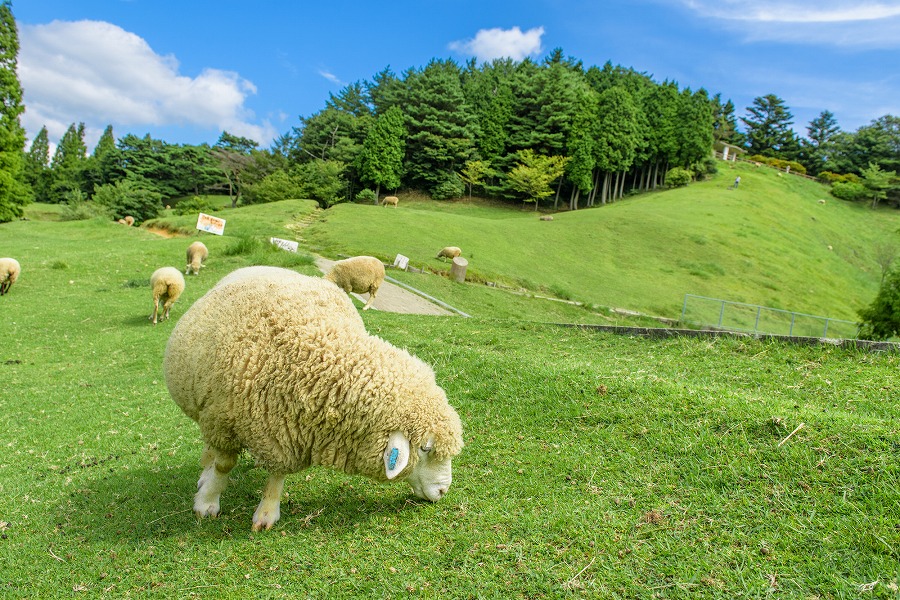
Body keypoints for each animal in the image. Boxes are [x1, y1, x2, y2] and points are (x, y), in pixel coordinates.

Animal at [163, 268, 468, 528]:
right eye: (425, 448)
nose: (444, 490)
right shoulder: (223, 422)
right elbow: (224, 465)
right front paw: (207, 503)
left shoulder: (285, 435)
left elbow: (278, 473)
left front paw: (267, 512)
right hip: (207, 408)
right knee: (210, 449)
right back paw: (205, 471)